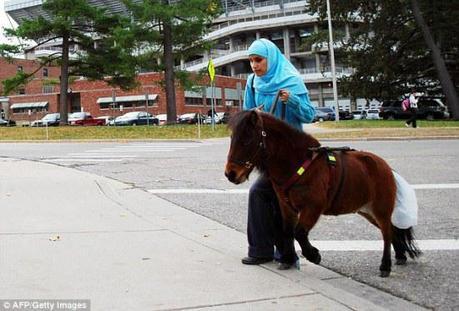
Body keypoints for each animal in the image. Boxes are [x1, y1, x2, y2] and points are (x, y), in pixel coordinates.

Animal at [225, 109, 422, 278]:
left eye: (247, 139)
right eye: (233, 137)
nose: (230, 173)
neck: (298, 164)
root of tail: (387, 168)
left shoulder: (313, 207)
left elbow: (299, 232)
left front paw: (313, 255)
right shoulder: (286, 206)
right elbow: (287, 231)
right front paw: (288, 259)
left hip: (380, 209)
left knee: (387, 233)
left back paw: (385, 266)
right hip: (367, 211)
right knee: (391, 230)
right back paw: (400, 257)